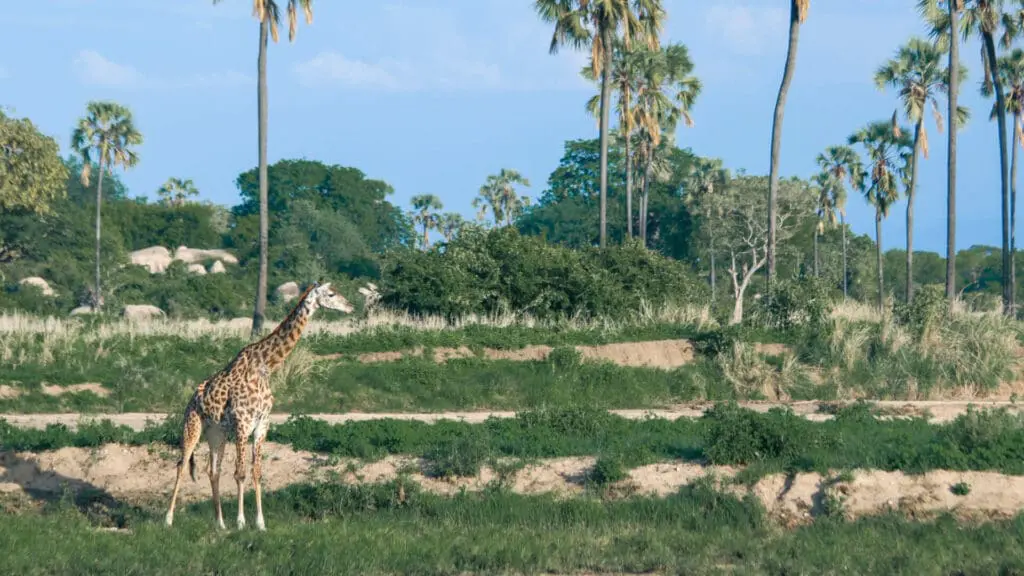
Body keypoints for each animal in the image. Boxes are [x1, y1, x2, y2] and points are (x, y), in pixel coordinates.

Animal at [163, 281, 355, 531]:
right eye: (331, 294)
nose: (351, 306)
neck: (266, 366)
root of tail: (192, 398)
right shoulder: (243, 423)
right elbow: (240, 473)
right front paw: (241, 522)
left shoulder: (262, 424)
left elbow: (257, 473)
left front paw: (260, 523)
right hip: (192, 425)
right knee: (181, 464)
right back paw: (168, 519)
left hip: (217, 433)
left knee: (213, 471)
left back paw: (220, 523)